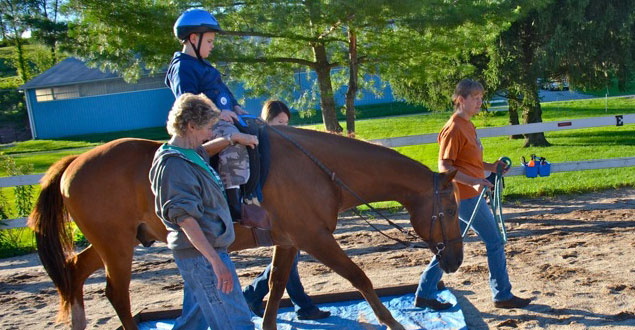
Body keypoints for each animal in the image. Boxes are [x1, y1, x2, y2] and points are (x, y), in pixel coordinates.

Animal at [28, 125, 462, 330]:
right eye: (451, 207)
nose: (455, 259)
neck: (320, 169)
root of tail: (74, 161)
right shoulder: (316, 239)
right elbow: (360, 278)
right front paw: (393, 322)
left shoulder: (290, 241)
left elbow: (275, 287)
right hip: (116, 247)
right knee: (117, 295)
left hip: (111, 244)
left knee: (73, 273)